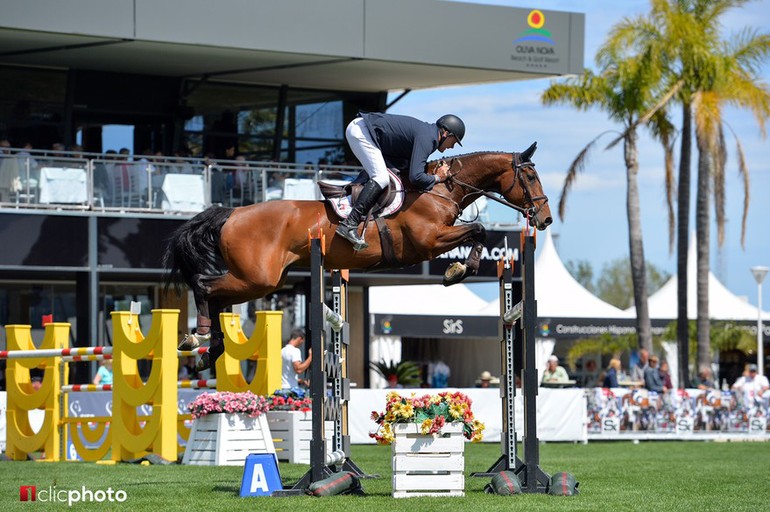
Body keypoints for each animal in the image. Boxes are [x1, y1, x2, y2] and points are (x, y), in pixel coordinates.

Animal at [164, 142, 544, 370]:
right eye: (529, 175)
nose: (545, 219)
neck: (438, 190)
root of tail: (230, 212)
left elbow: (476, 231)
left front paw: (459, 268)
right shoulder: (429, 241)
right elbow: (477, 230)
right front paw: (459, 270)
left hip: (258, 280)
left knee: (215, 296)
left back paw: (209, 351)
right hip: (258, 279)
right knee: (204, 285)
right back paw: (197, 338)